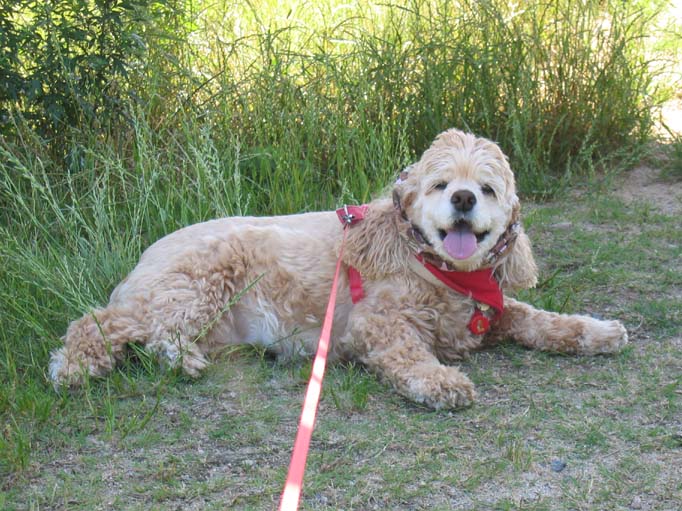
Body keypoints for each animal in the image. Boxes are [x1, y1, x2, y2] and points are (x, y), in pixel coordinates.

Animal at [49, 130, 628, 410]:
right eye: (441, 185)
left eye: (487, 189)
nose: (463, 198)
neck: (438, 268)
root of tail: (143, 258)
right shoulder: (378, 323)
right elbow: (409, 354)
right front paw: (440, 381)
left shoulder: (488, 311)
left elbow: (538, 318)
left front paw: (596, 331)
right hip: (200, 280)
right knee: (102, 323)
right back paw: (80, 366)